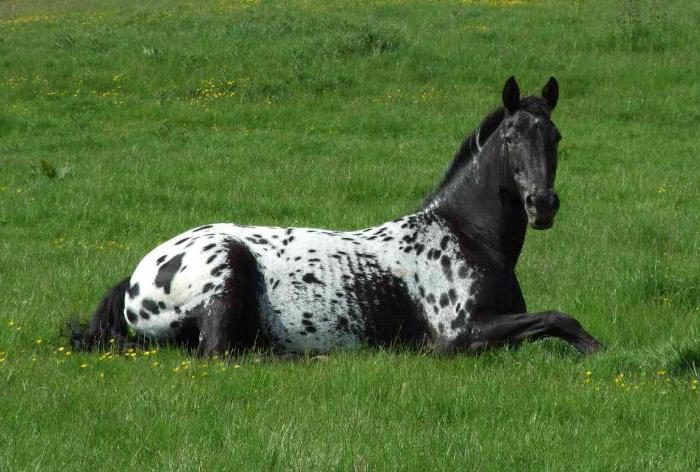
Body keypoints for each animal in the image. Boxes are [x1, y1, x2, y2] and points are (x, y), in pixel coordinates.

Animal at [71, 77, 604, 358]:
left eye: (554, 137)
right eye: (511, 137)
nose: (542, 205)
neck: (464, 236)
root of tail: (135, 280)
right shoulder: (457, 337)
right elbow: (559, 318)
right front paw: (597, 349)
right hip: (226, 275)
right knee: (222, 354)